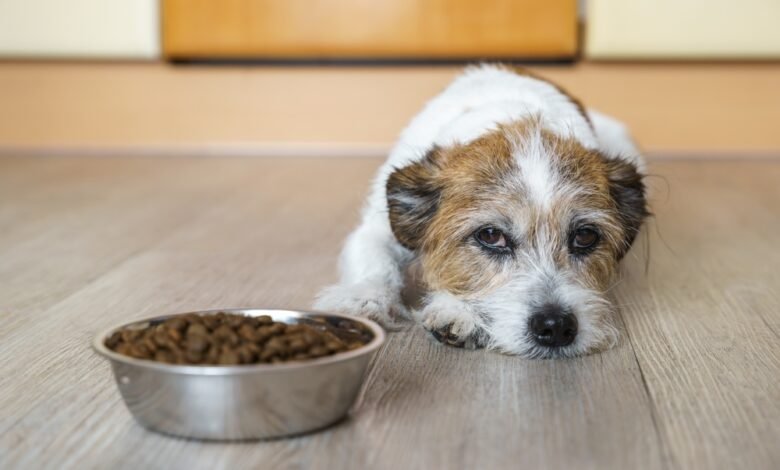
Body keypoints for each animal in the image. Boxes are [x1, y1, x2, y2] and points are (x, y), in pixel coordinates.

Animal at [314, 65, 648, 360]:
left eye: (585, 236)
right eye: (490, 236)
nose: (556, 327)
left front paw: (456, 309)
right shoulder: (378, 226)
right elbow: (375, 259)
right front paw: (362, 299)